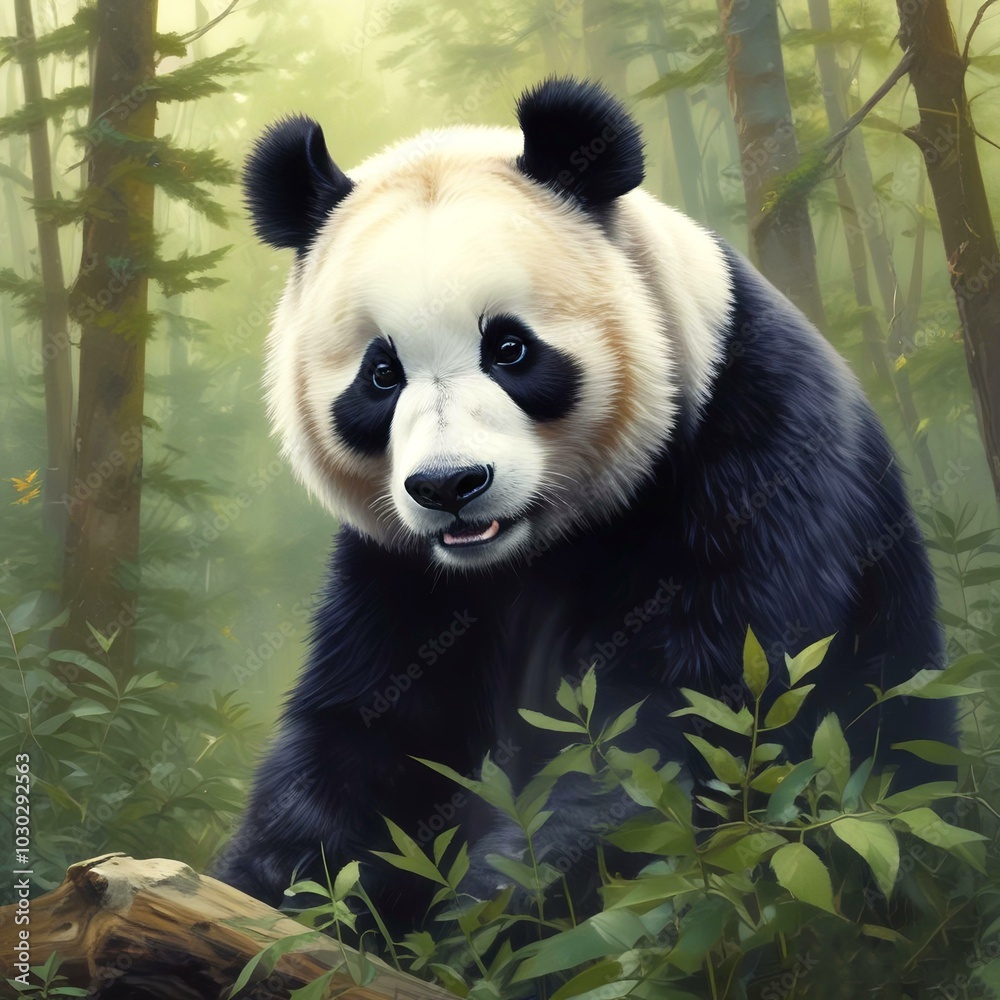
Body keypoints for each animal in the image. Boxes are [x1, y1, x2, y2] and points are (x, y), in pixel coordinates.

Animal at [214, 78, 950, 927]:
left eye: (509, 347)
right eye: (380, 373)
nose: (450, 486)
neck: (534, 547)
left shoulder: (753, 455)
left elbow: (688, 718)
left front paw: (501, 913)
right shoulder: (398, 569)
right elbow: (368, 732)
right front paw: (277, 890)